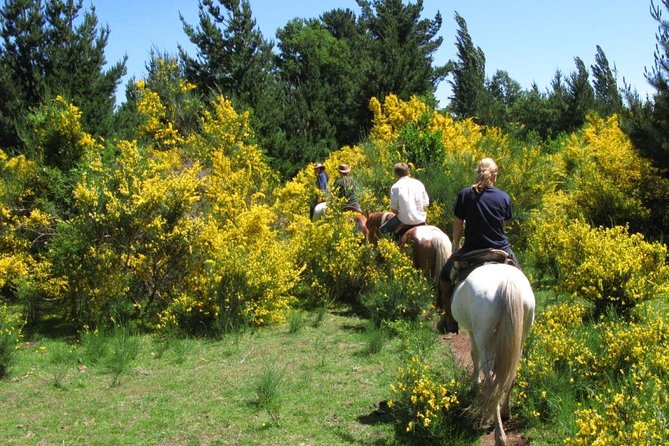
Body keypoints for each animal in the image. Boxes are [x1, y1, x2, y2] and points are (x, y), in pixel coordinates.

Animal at [448, 264, 536, 444]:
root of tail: (507, 283)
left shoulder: (472, 332)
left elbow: (474, 355)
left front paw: (475, 382)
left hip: (483, 337)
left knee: (492, 379)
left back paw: (498, 433)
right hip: (520, 337)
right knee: (509, 375)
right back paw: (505, 412)